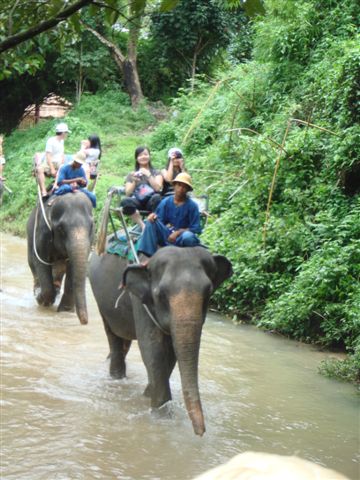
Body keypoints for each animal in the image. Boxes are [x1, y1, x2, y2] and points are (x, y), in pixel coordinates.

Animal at [26, 193, 94, 324]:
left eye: (92, 226)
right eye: (61, 228)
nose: (85, 322)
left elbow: (72, 268)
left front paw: (65, 312)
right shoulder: (43, 232)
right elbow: (40, 260)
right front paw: (41, 299)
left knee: (59, 269)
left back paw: (56, 290)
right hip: (30, 234)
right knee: (33, 263)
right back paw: (38, 290)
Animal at [88, 246, 232, 436]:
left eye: (208, 293)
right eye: (161, 295)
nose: (200, 433)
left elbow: (170, 354)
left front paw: (148, 395)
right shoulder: (140, 301)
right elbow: (152, 349)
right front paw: (161, 417)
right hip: (102, 304)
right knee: (114, 337)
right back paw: (117, 378)